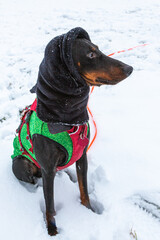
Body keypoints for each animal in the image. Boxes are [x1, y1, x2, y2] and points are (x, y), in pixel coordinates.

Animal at [11, 27, 133, 235]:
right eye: (91, 54)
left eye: (98, 48)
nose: (129, 68)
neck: (66, 120)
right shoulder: (48, 168)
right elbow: (50, 206)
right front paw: (52, 231)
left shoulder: (82, 156)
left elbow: (84, 190)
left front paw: (88, 211)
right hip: (20, 163)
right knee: (34, 178)